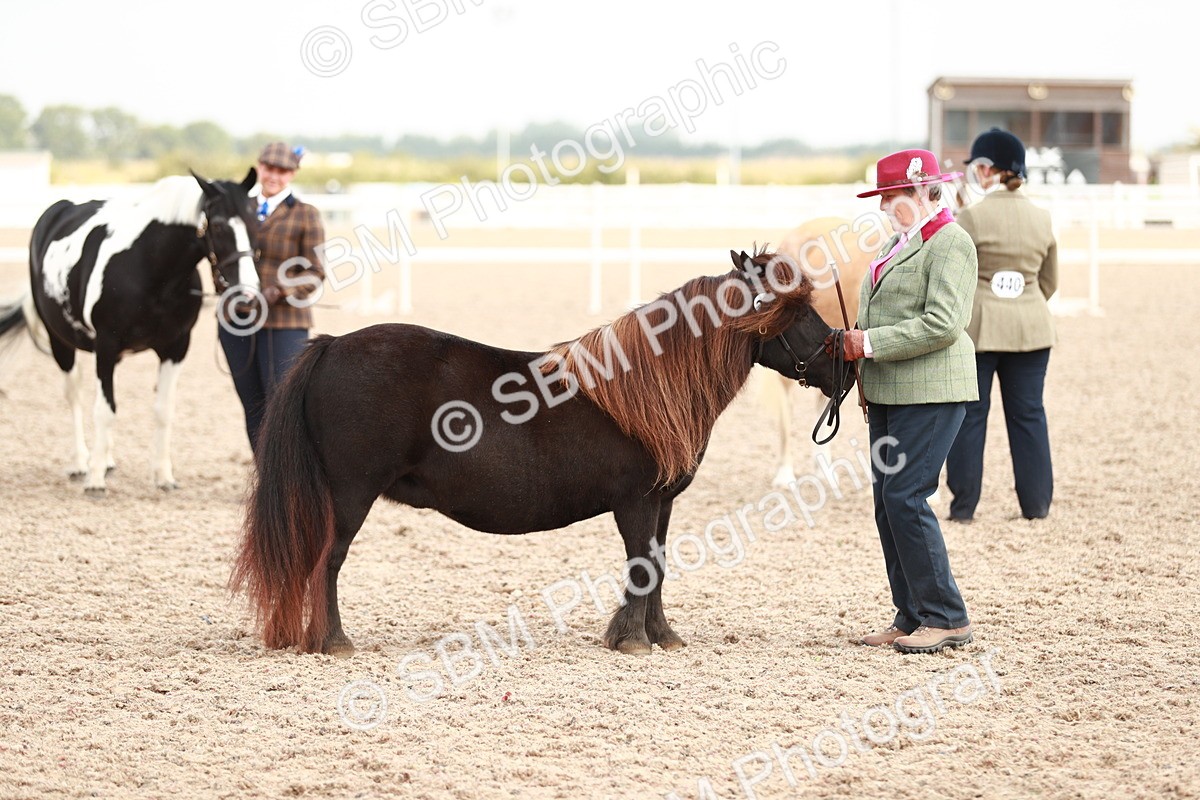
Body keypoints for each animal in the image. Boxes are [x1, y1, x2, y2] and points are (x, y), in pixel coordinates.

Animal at [0, 170, 261, 496]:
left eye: (256, 221)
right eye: (218, 225)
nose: (247, 297)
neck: (149, 266)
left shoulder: (176, 347)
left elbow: (162, 410)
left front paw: (163, 476)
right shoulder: (106, 344)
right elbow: (104, 409)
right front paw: (95, 480)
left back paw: (107, 460)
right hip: (61, 342)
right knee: (74, 395)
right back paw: (81, 462)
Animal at [231, 249, 855, 657]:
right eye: (796, 312)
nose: (844, 367)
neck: (646, 387)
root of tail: (332, 345)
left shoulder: (663, 503)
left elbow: (657, 563)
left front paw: (662, 636)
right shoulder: (635, 501)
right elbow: (641, 563)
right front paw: (632, 640)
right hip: (350, 495)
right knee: (328, 561)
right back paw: (333, 641)